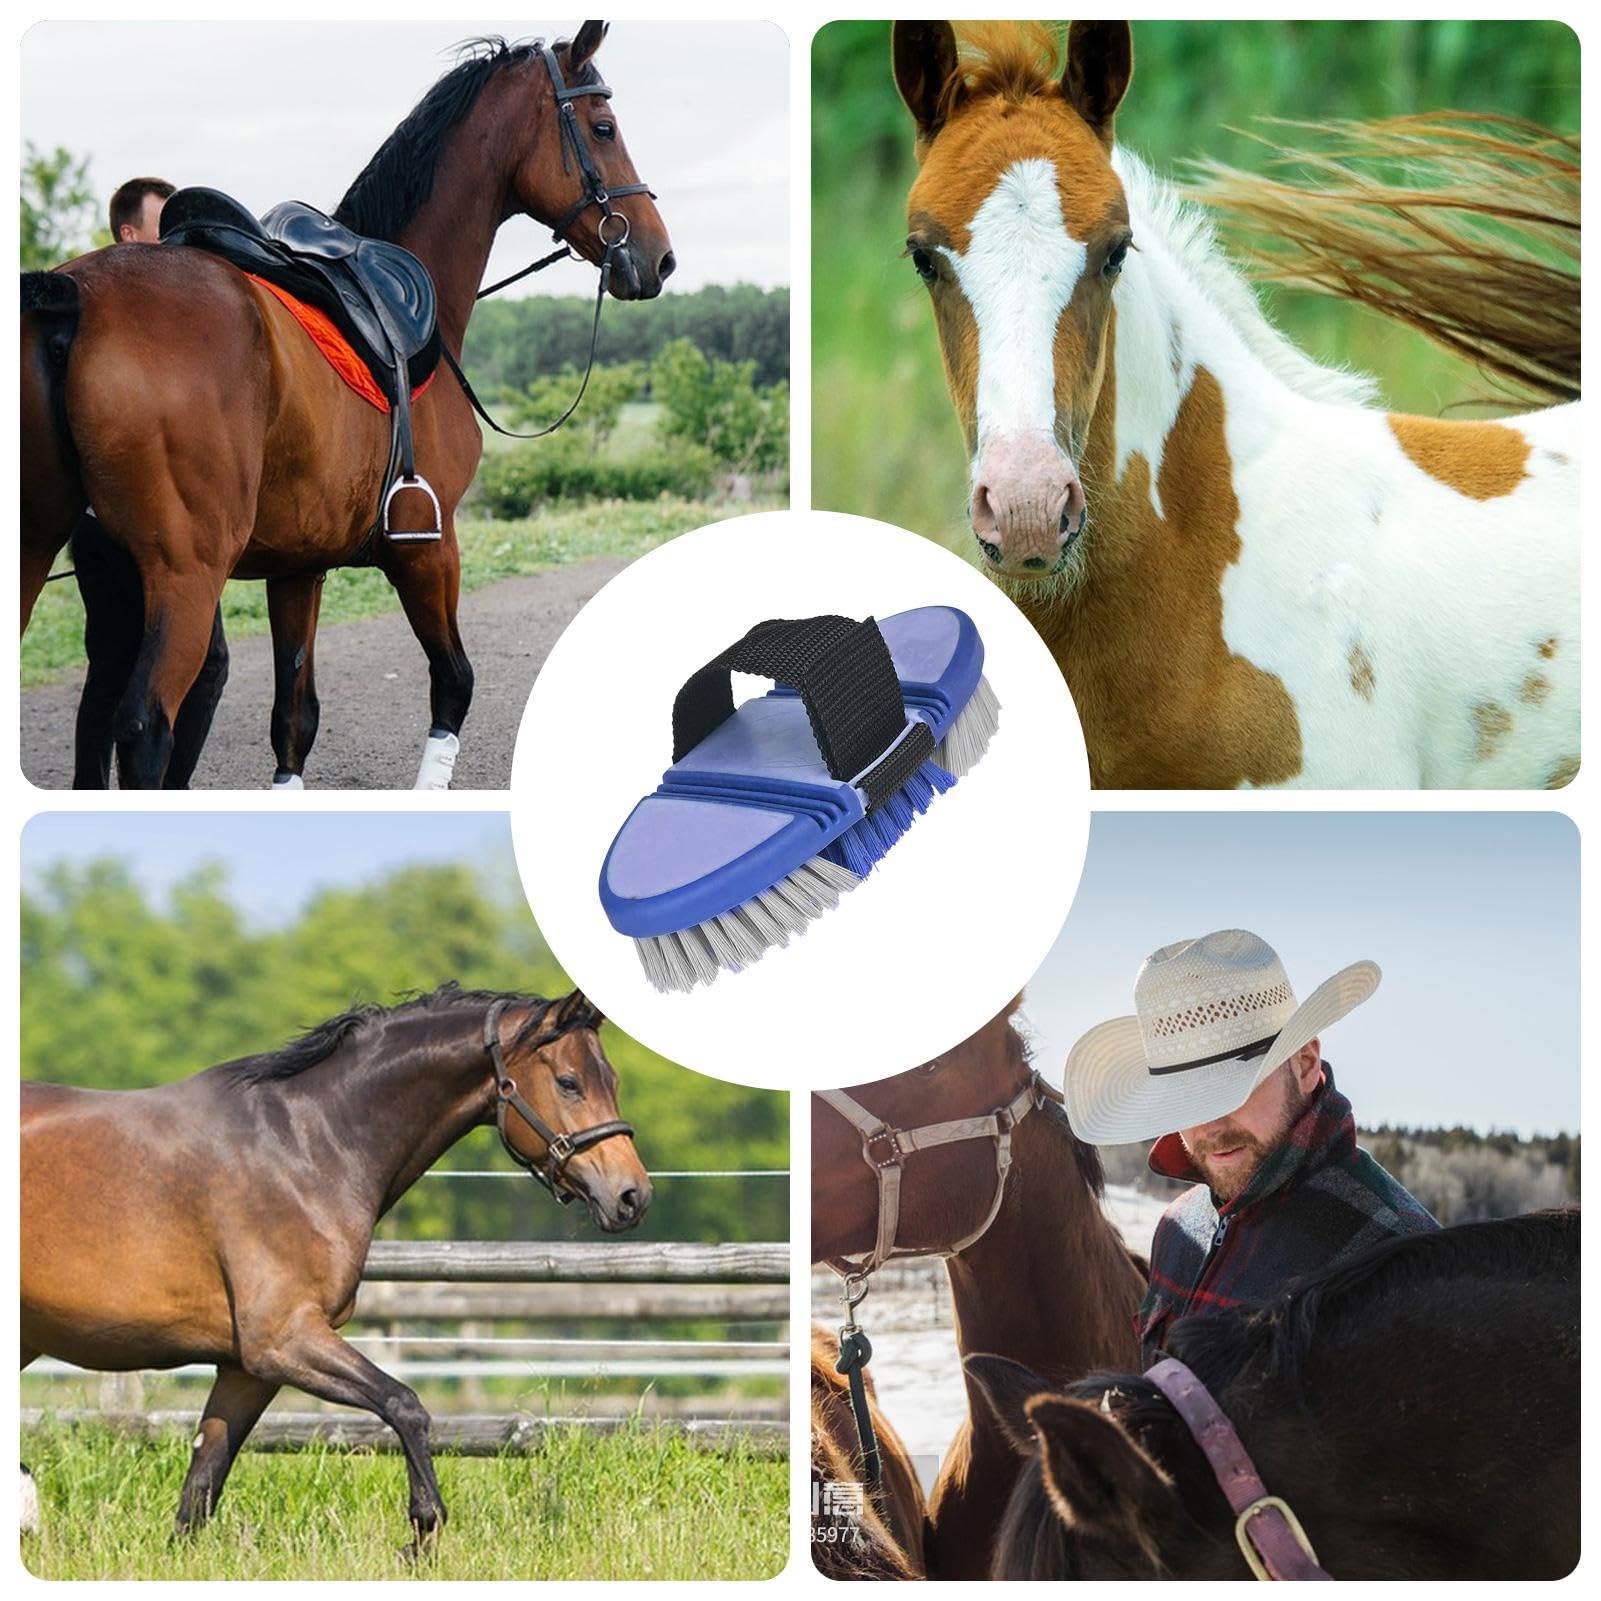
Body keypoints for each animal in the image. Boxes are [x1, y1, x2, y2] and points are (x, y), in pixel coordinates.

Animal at [20, 22, 674, 789]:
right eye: (603, 128)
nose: (658, 256)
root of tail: (75, 297)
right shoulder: (427, 546)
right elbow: (454, 683)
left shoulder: (298, 569)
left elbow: (293, 722)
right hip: (185, 577)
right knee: (146, 727)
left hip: (41, 551)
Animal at [20, 984, 650, 1546]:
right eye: (569, 1082)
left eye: (614, 1081)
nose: (632, 1196)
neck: (304, 1147)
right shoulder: (284, 1340)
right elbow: (405, 1405)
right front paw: (422, 1530)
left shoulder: (248, 1368)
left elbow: (203, 1483)